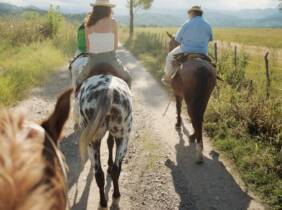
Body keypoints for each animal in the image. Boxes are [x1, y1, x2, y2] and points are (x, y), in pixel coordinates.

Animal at [69, 55, 133, 209]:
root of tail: (106, 91)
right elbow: (110, 143)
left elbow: (109, 143)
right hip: (121, 137)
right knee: (113, 170)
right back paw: (113, 199)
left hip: (94, 141)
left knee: (100, 173)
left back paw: (106, 202)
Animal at [165, 33, 216, 164]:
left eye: (170, 43)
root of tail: (201, 68)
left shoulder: (178, 93)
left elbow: (178, 107)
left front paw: (178, 124)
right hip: (205, 97)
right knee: (199, 116)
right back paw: (195, 138)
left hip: (190, 99)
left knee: (193, 115)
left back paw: (198, 151)